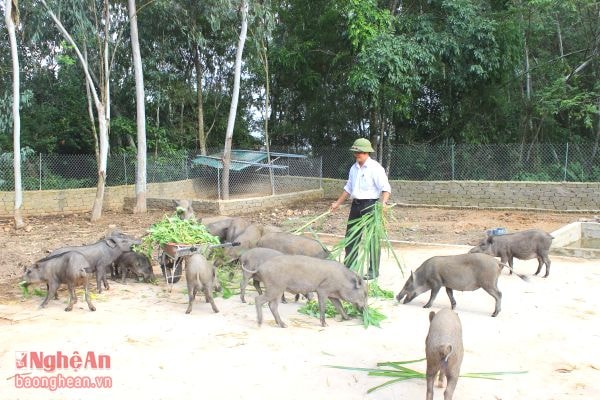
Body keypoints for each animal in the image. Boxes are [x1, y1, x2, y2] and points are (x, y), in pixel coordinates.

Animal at [396, 255, 528, 318]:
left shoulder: (437, 282)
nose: (397, 296)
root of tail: (496, 262)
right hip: (492, 282)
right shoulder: (447, 284)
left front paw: (425, 307)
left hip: (488, 283)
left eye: (407, 284)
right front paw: (453, 308)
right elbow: (450, 294)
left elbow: (433, 295)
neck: (425, 275)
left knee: (499, 294)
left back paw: (494, 314)